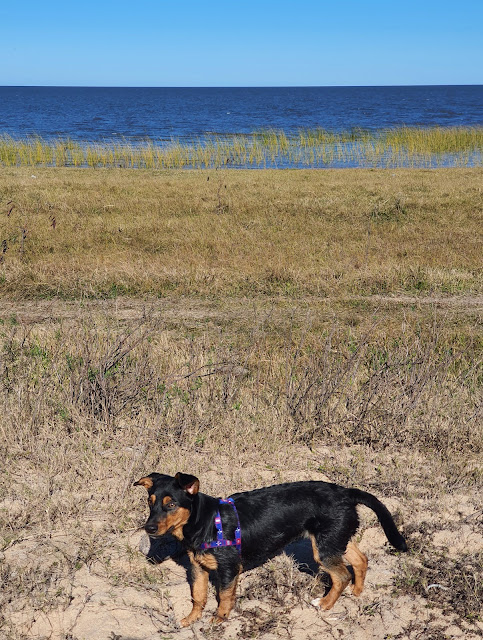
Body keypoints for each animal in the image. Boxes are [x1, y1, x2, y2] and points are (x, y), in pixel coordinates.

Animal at [135, 470, 408, 624]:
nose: (149, 528)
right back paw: (357, 592)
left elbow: (224, 597)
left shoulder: (228, 569)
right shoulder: (198, 567)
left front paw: (218, 620)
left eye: (171, 505)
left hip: (324, 548)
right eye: (150, 503)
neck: (204, 520)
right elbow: (198, 597)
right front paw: (190, 620)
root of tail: (346, 492)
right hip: (334, 539)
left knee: (341, 575)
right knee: (361, 560)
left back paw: (325, 604)